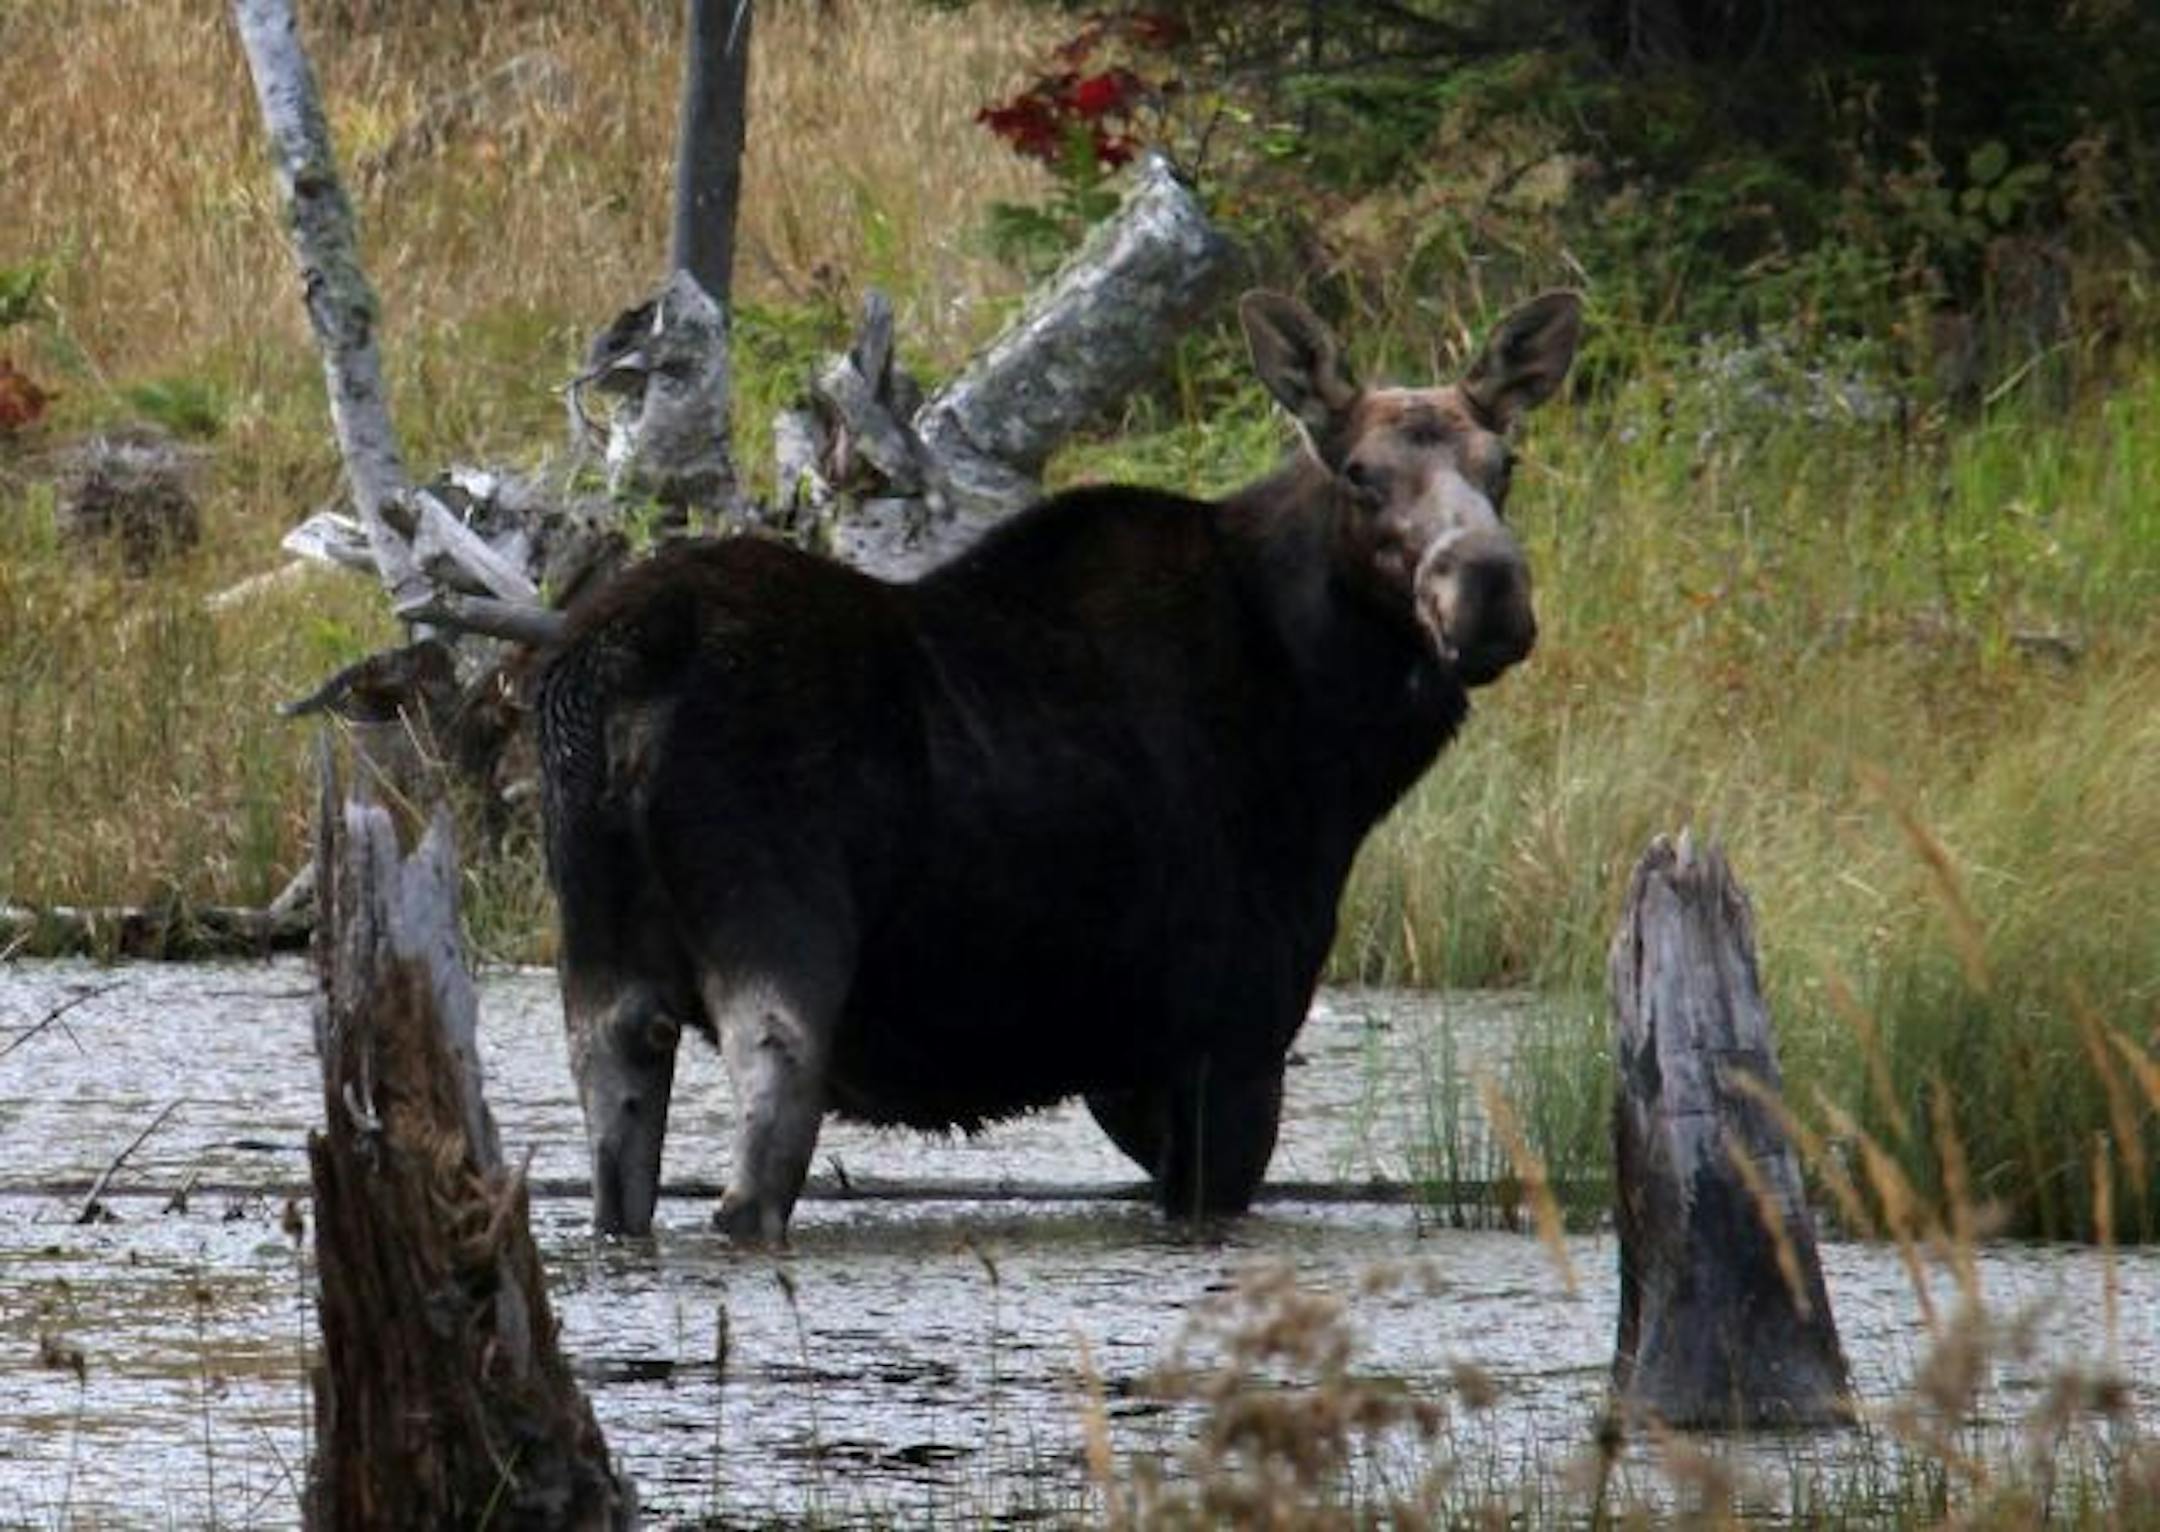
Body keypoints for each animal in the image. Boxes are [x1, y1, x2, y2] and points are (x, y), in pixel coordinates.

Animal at [538, 289, 1582, 1240]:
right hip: (779, 927)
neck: (1335, 736)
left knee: (617, 1158)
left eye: (1505, 464)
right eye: (1362, 475)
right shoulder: (1230, 1029)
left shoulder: (1128, 1065)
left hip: (598, 950)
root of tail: (624, 668)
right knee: (752, 1175)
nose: (1490, 587)